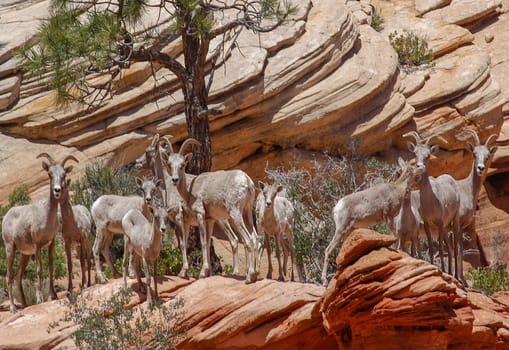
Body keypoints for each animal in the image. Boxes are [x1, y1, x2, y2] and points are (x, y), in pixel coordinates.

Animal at [1, 153, 77, 312]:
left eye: (63, 174)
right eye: (49, 174)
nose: (57, 190)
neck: (47, 215)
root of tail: (6, 217)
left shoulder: (50, 243)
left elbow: (50, 267)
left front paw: (53, 295)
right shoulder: (37, 245)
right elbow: (39, 270)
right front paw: (40, 298)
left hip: (24, 254)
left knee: (18, 276)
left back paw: (25, 305)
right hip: (10, 248)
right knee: (9, 276)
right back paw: (13, 308)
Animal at [135, 134, 242, 276]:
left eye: (147, 151)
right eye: (169, 163)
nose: (137, 162)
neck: (168, 187)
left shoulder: (179, 218)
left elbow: (182, 244)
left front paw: (184, 271)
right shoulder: (181, 222)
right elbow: (183, 244)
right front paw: (185, 272)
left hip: (221, 221)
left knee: (233, 240)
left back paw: (235, 272)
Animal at [163, 138, 260, 284]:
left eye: (182, 165)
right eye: (169, 164)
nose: (175, 180)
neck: (189, 192)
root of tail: (247, 181)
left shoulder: (199, 215)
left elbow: (202, 242)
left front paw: (201, 273)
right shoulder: (210, 220)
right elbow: (208, 243)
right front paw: (207, 273)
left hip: (235, 214)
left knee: (248, 240)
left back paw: (249, 277)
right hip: (247, 214)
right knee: (255, 239)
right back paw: (254, 275)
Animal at [322, 159, 420, 288]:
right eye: (416, 166)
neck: (396, 189)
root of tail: (337, 207)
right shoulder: (388, 217)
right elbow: (394, 237)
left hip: (347, 231)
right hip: (341, 230)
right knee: (328, 250)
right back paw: (324, 281)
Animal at [404, 131, 464, 282]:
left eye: (428, 155)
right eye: (415, 153)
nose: (419, 166)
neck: (430, 201)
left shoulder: (440, 222)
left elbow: (441, 249)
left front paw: (442, 270)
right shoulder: (427, 223)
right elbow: (432, 247)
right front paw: (435, 267)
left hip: (454, 221)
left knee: (455, 246)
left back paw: (456, 276)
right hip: (445, 228)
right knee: (450, 248)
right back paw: (450, 272)